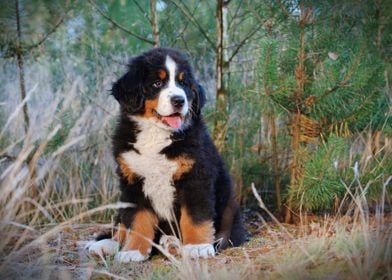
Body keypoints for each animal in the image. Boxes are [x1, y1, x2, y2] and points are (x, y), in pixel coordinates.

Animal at [87, 47, 243, 262]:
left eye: (183, 83)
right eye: (157, 83)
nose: (179, 100)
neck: (156, 134)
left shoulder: (196, 177)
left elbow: (195, 216)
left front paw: (198, 247)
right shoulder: (133, 181)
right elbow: (137, 221)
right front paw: (133, 251)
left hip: (229, 211)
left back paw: (172, 244)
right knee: (120, 225)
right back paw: (105, 245)